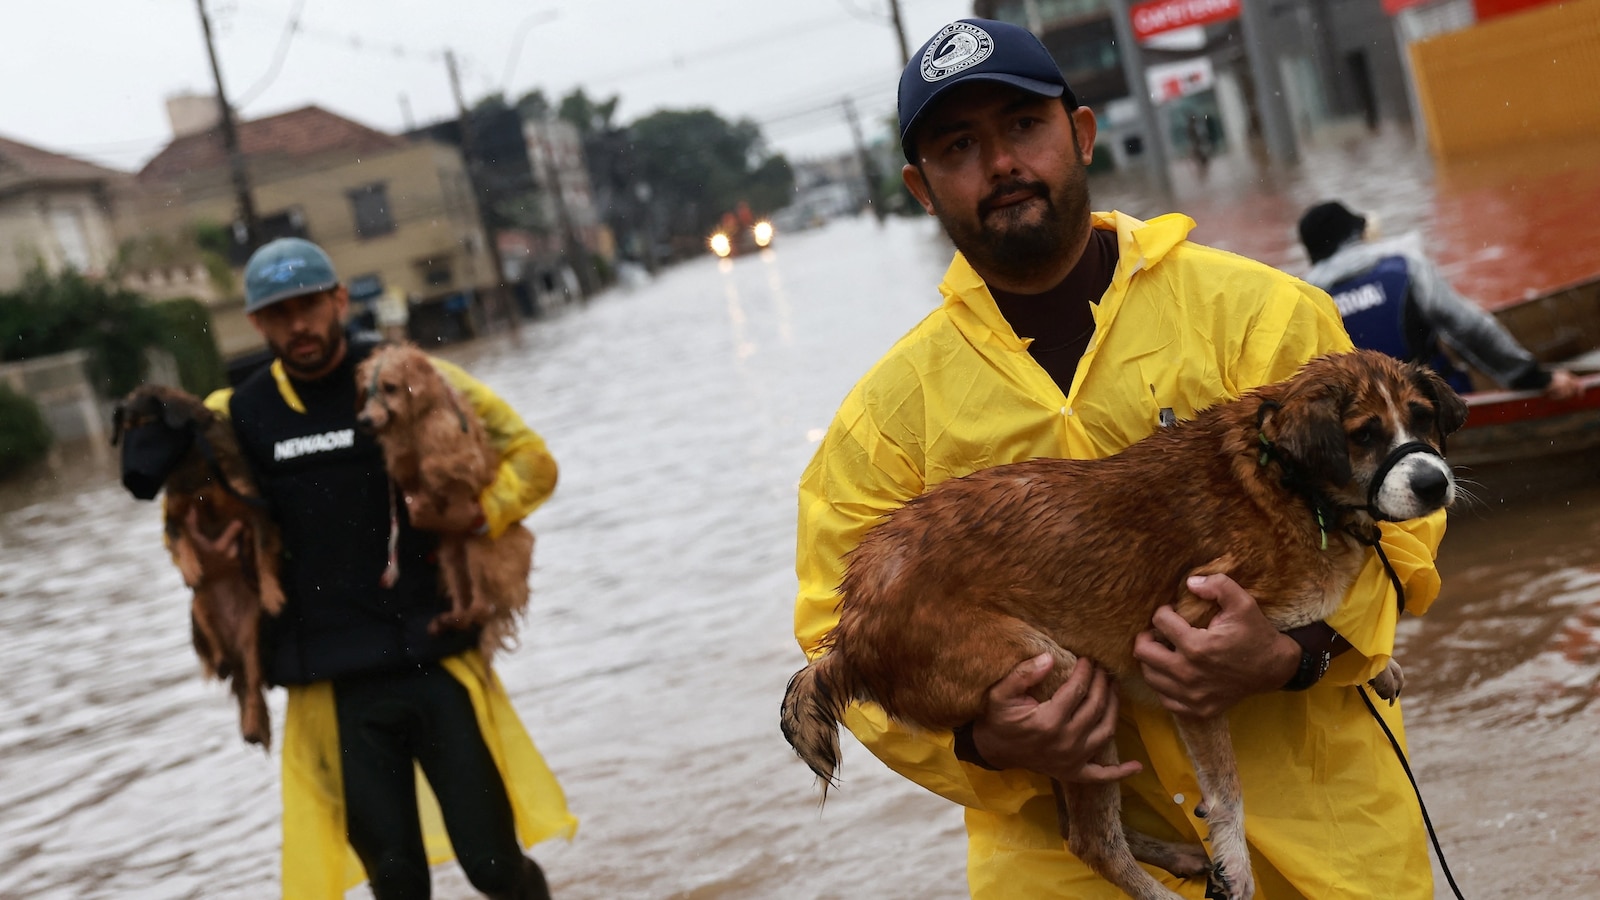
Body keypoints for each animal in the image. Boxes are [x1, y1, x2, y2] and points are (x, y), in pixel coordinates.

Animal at [112, 381, 284, 746]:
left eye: (147, 425)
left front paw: (273, 594)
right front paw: (191, 568)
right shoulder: (175, 514)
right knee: (222, 662)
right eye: (124, 431)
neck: (191, 464)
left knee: (251, 681)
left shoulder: (256, 509)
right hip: (198, 611)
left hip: (254, 636)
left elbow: (264, 554)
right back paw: (220, 662)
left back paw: (251, 720)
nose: (132, 480)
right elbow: (180, 538)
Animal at [356, 339, 537, 656]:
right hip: (449, 557)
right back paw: (449, 619)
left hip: (479, 549)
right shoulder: (400, 460)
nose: (364, 420)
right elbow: (404, 465)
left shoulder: (462, 454)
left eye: (390, 387)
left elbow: (435, 463)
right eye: (368, 391)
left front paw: (433, 485)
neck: (418, 418)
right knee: (466, 604)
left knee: (482, 606)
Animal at [780, 349, 1465, 896]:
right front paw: (1238, 866)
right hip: (1058, 678)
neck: (1286, 480)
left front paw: (1381, 666)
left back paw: (1184, 858)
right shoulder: (1184, 647)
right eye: (1364, 434)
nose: (1435, 484)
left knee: (1074, 828)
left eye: (1421, 418)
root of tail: (850, 634)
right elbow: (1227, 792)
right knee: (1091, 841)